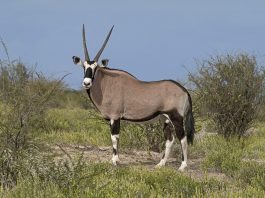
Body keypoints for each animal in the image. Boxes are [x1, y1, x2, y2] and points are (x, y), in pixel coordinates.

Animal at [71, 24, 194, 170]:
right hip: (165, 118)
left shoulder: (115, 117)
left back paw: (183, 166)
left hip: (176, 117)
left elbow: (114, 138)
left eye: (96, 68)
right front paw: (115, 160)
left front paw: (115, 161)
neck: (106, 83)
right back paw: (160, 164)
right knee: (170, 139)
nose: (86, 83)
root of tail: (184, 90)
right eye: (84, 66)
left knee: (183, 138)